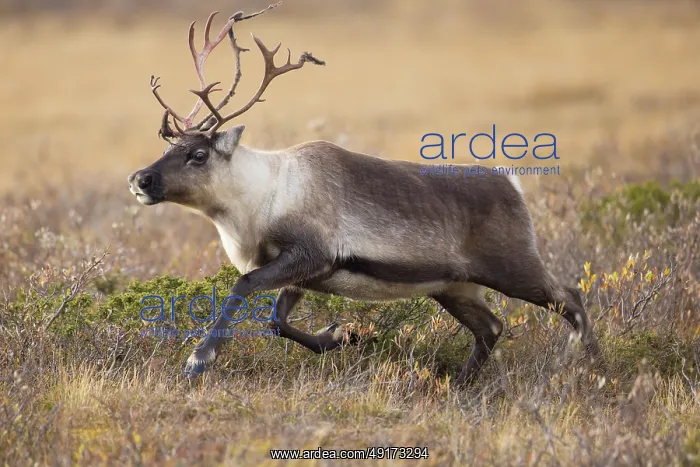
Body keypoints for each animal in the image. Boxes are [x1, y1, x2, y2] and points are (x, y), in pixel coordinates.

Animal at [127, 2, 603, 386]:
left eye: (198, 153)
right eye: (168, 147)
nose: (140, 179)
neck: (256, 204)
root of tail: (511, 182)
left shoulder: (309, 253)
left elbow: (244, 286)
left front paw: (198, 359)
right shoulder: (303, 274)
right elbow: (278, 322)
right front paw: (342, 336)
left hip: (512, 266)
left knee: (570, 298)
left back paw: (595, 369)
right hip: (453, 286)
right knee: (491, 327)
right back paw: (459, 384)